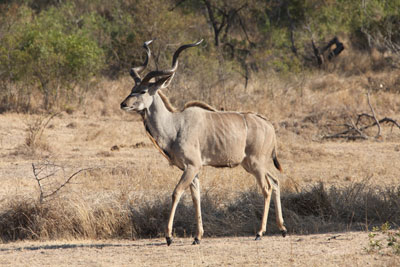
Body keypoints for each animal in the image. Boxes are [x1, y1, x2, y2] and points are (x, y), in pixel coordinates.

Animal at [120, 39, 286, 247]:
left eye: (142, 90)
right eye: (131, 90)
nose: (123, 104)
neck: (175, 125)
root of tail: (269, 126)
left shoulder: (192, 166)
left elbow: (176, 193)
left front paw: (169, 236)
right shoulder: (193, 170)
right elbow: (195, 197)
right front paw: (197, 236)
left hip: (256, 165)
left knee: (267, 188)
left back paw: (260, 232)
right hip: (252, 165)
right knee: (276, 182)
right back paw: (282, 229)